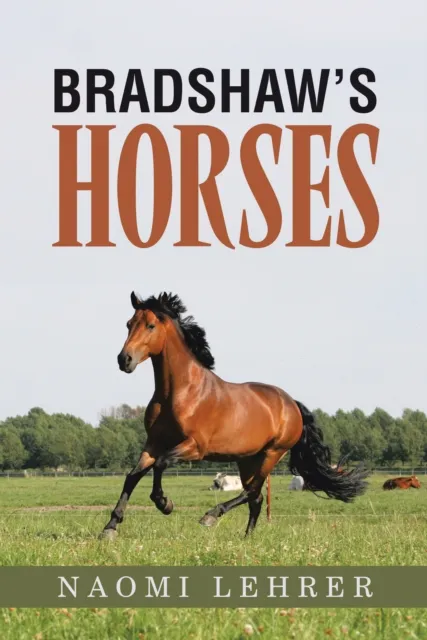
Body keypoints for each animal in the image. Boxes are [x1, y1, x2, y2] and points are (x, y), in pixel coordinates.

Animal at [100, 291, 370, 540]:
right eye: (129, 324)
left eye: (151, 325)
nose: (124, 359)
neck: (179, 392)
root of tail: (291, 404)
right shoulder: (154, 443)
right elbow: (132, 476)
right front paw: (110, 527)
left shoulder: (195, 447)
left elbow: (161, 464)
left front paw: (165, 504)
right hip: (247, 459)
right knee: (256, 498)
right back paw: (246, 538)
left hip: (272, 454)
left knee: (251, 493)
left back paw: (211, 516)